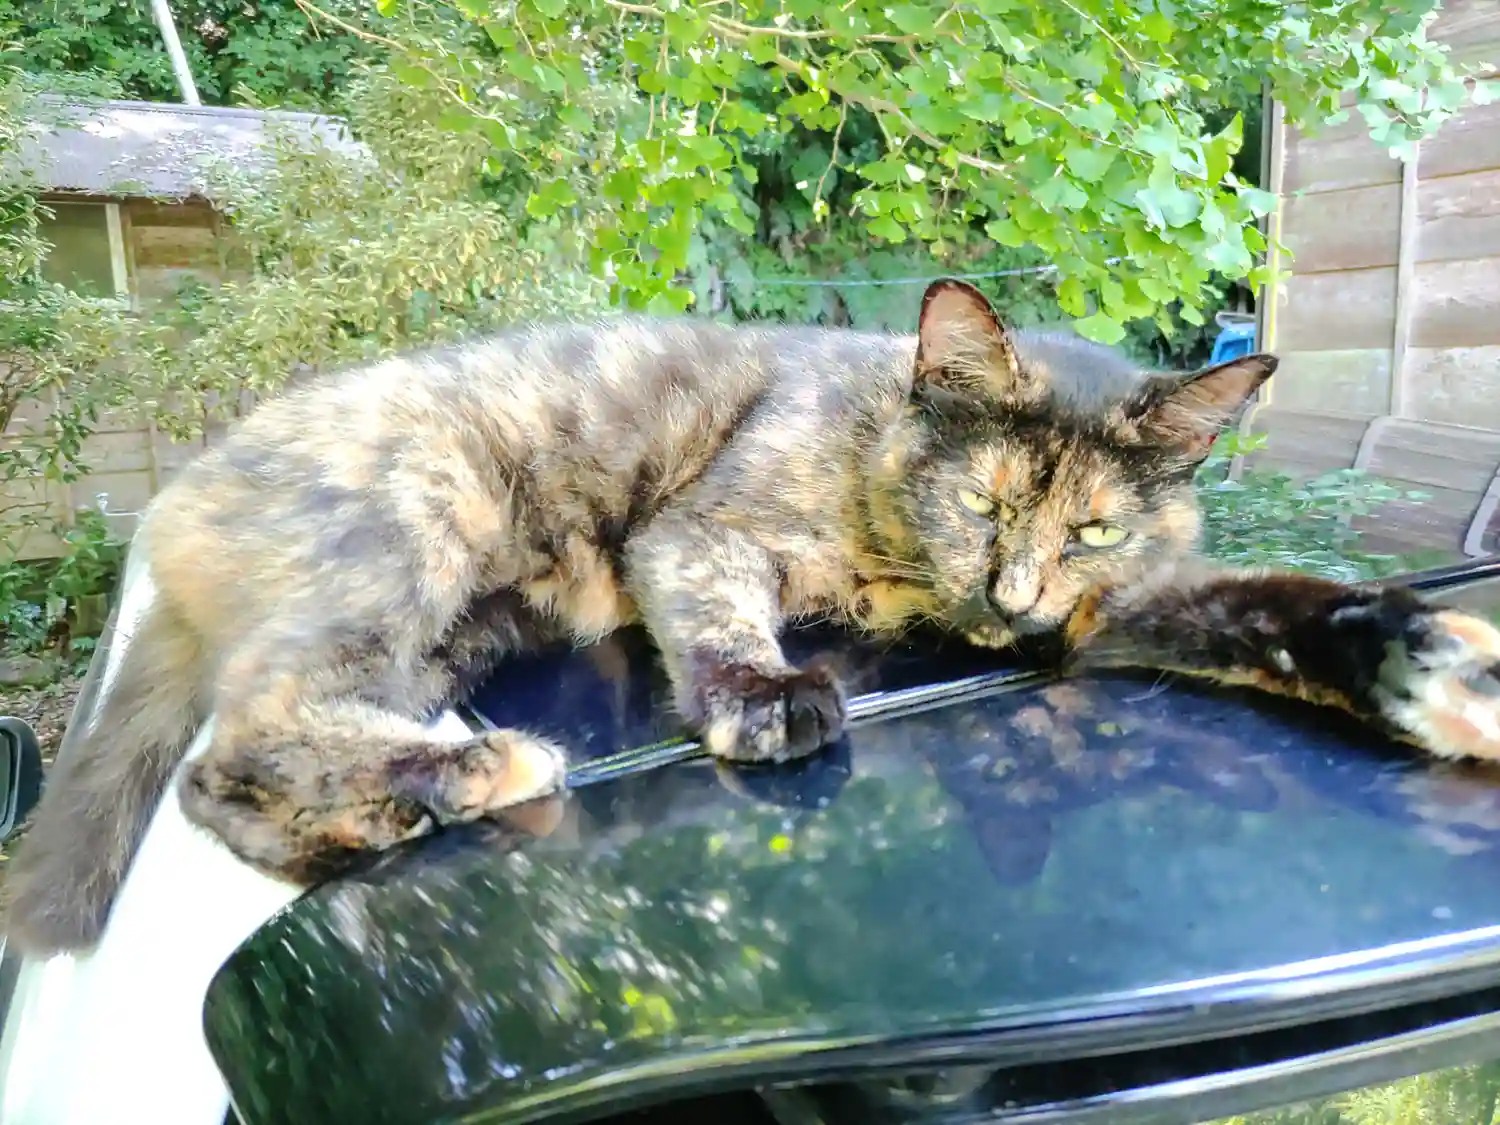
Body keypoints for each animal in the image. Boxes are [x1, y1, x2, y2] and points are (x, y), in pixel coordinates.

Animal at [6, 278, 1500, 959]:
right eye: (984, 502)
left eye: (1091, 530)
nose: (1011, 605)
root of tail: (180, 488)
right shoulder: (700, 534)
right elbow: (725, 616)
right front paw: (766, 695)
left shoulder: (1118, 612)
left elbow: (1278, 610)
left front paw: (1434, 668)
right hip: (417, 529)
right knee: (233, 748)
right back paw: (471, 769)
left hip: (450, 626)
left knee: (230, 781)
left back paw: (404, 803)